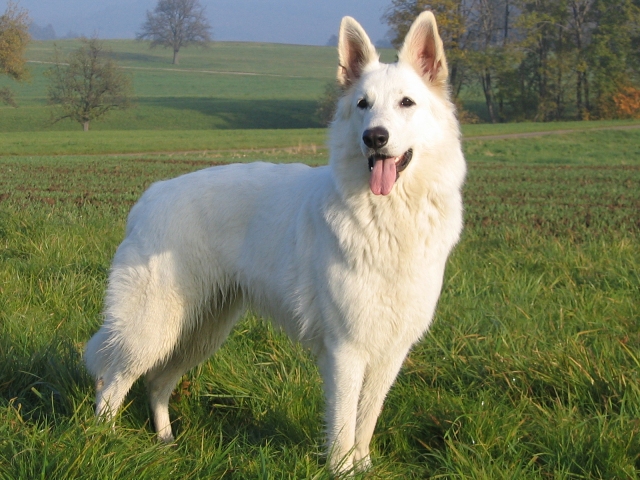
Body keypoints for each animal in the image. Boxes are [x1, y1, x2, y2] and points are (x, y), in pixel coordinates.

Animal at [84, 11, 465, 474]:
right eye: (363, 105)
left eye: (406, 103)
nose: (374, 138)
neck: (389, 219)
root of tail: (149, 198)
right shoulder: (346, 351)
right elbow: (343, 424)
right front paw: (342, 470)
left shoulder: (389, 352)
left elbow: (366, 421)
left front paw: (363, 467)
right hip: (152, 329)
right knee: (112, 385)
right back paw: (104, 444)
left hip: (201, 331)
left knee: (156, 384)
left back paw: (166, 442)